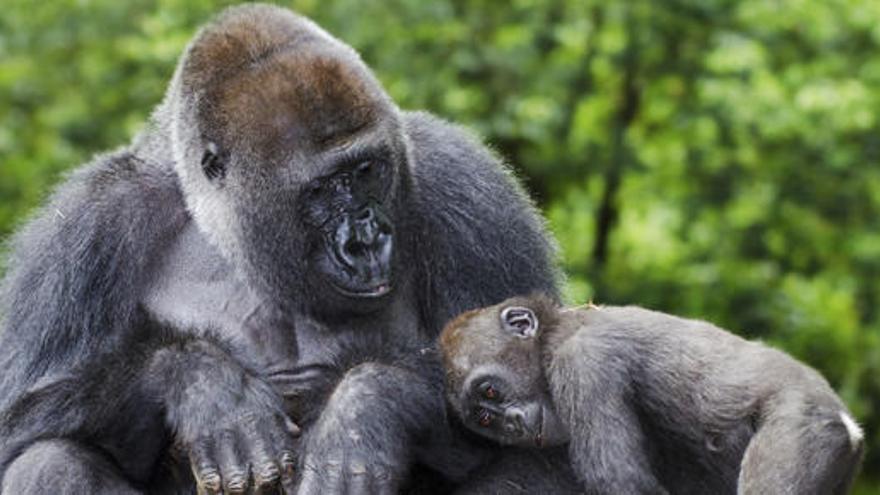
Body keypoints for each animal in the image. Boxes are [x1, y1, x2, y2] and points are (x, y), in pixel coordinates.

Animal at [0, 4, 576, 495]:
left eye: (366, 170)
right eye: (321, 190)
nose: (367, 241)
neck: (224, 227)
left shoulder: (463, 185)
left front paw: (368, 406)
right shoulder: (88, 227)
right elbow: (13, 423)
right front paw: (201, 382)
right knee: (50, 459)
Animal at [444, 296, 864, 494]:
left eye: (492, 391)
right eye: (486, 419)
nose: (511, 423)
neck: (554, 335)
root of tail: (850, 425)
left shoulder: (582, 362)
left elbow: (622, 481)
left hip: (802, 431)